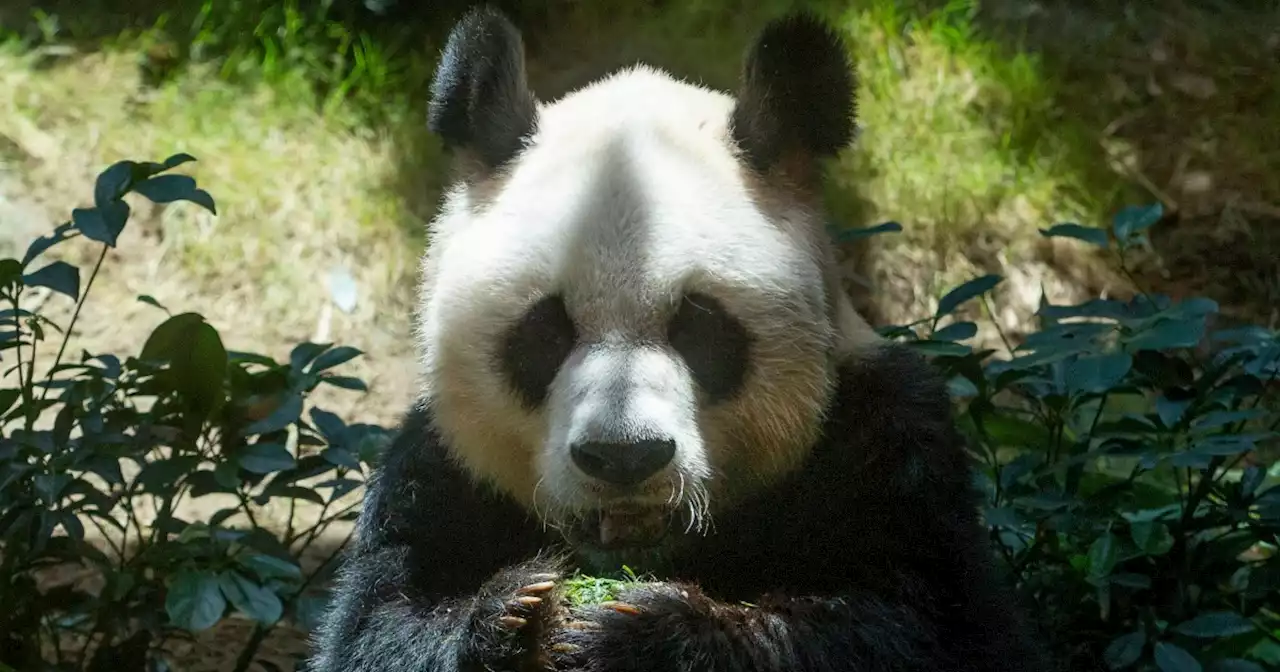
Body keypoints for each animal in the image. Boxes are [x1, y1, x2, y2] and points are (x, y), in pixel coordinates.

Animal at [312, 6, 1049, 670]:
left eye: (700, 328)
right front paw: (517, 616)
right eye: (545, 332)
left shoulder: (887, 439)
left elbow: (932, 626)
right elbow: (376, 626)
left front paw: (647, 631)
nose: (624, 458)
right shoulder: (438, 468)